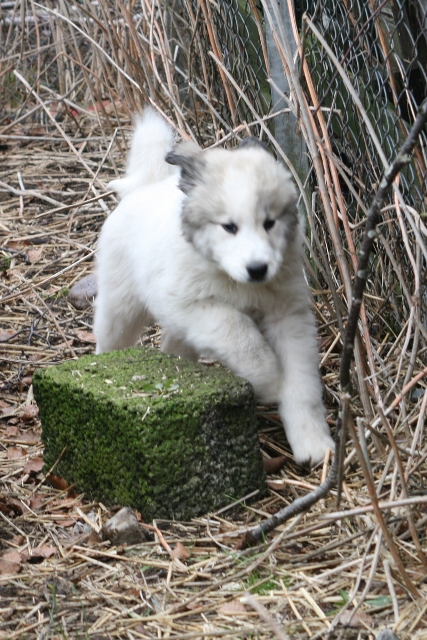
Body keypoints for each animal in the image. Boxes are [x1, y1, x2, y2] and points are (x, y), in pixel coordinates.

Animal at [93, 110, 334, 464]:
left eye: (269, 223)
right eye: (229, 227)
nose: (258, 269)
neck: (235, 279)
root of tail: (150, 185)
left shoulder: (288, 316)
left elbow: (303, 385)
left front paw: (314, 443)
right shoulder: (191, 306)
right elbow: (241, 334)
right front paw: (270, 382)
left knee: (174, 348)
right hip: (120, 307)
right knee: (110, 339)